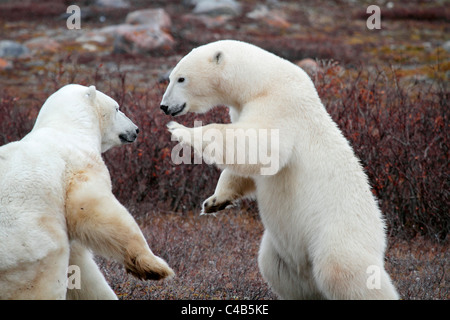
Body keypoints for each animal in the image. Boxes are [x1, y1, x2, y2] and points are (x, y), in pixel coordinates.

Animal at [0, 84, 173, 298]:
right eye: (117, 108)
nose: (136, 129)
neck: (69, 128)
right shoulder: (79, 165)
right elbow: (97, 210)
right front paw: (155, 266)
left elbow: (82, 269)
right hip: (31, 247)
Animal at [161, 40, 398, 300]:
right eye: (170, 77)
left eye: (181, 78)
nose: (164, 106)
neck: (261, 81)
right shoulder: (243, 108)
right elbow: (246, 163)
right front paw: (214, 202)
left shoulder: (280, 105)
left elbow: (259, 145)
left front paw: (181, 130)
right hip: (281, 251)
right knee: (275, 268)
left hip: (339, 232)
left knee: (343, 270)